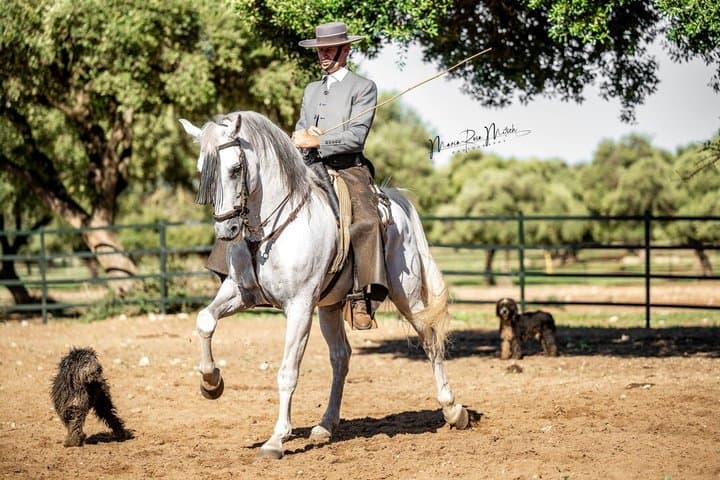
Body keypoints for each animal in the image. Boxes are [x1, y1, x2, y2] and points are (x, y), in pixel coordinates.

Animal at [180, 111, 469, 459]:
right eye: (202, 170)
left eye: (236, 169)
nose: (227, 230)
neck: (271, 230)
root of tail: (396, 202)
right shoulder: (242, 293)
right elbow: (205, 320)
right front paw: (211, 383)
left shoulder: (300, 307)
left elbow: (288, 372)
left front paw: (276, 439)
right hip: (330, 307)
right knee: (341, 358)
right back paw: (325, 425)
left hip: (407, 296)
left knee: (430, 340)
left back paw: (453, 410)